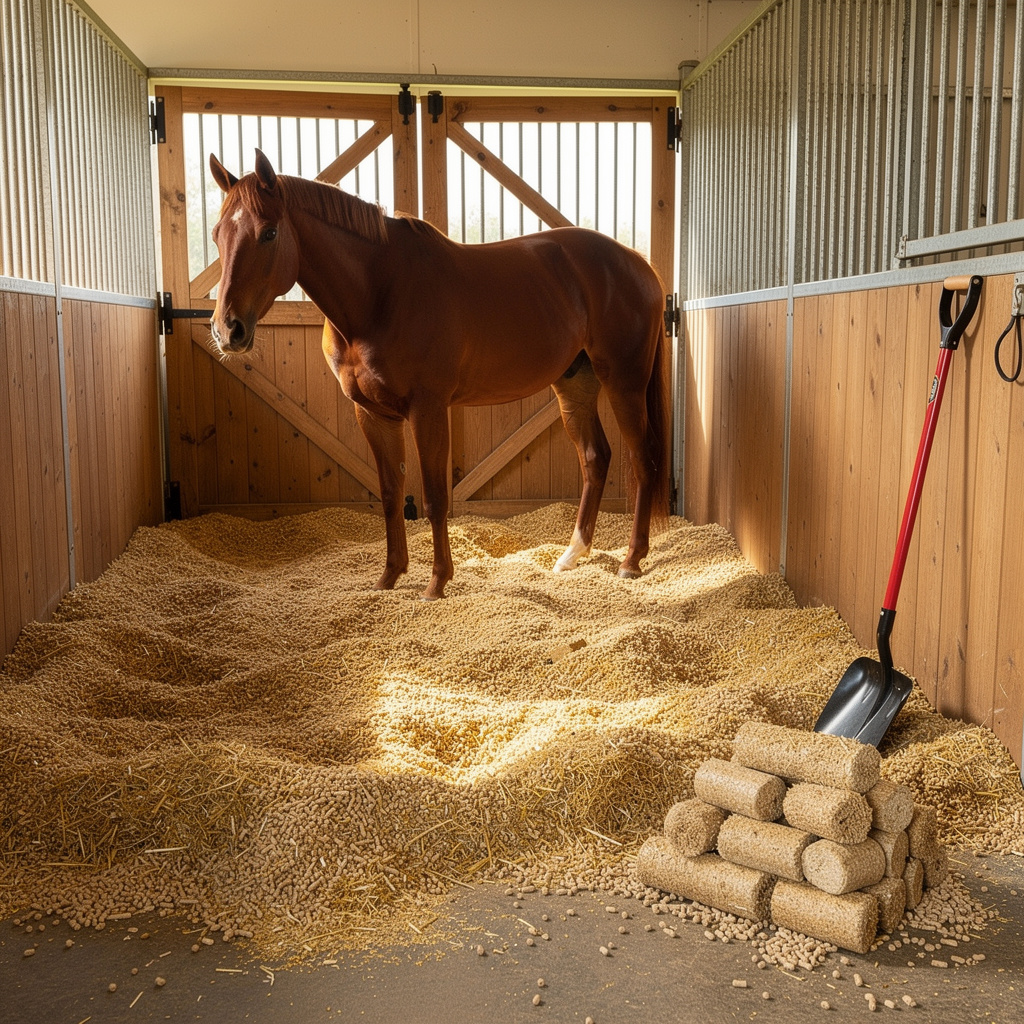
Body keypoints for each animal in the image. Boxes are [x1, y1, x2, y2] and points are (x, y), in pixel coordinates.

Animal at [209, 149, 671, 600]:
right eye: (216, 234)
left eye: (269, 233)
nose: (228, 330)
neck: (379, 292)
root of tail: (640, 265)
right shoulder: (372, 414)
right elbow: (391, 495)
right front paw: (389, 577)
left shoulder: (427, 409)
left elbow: (433, 498)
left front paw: (437, 583)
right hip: (575, 385)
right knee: (595, 458)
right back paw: (572, 555)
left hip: (624, 383)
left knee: (642, 459)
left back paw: (632, 561)